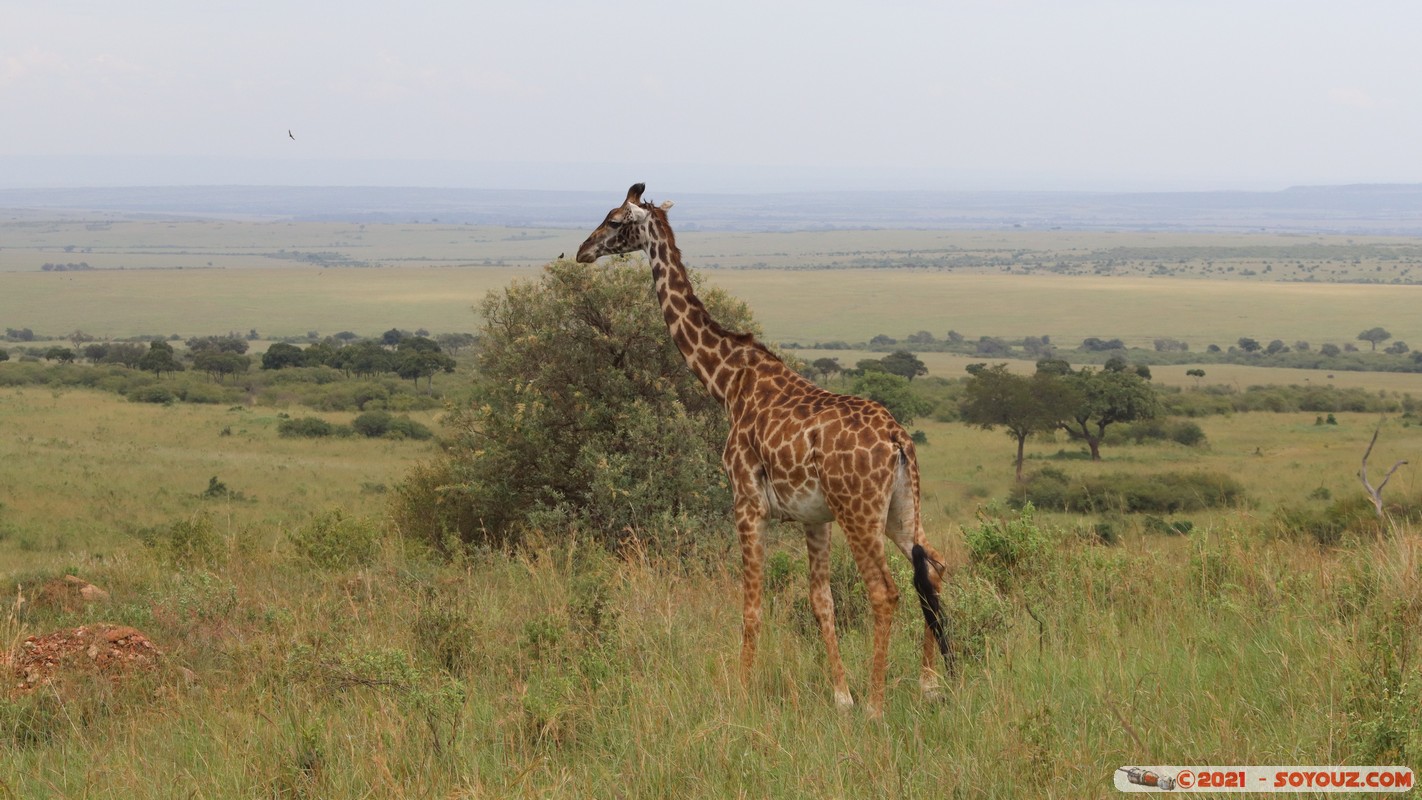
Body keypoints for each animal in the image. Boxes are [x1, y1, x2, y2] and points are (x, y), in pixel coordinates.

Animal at [577, 183, 952, 716]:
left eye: (612, 220)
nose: (582, 251)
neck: (727, 382)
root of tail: (898, 439)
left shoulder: (747, 503)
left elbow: (751, 606)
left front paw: (742, 693)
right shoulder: (815, 517)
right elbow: (821, 602)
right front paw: (841, 696)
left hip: (861, 513)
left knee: (886, 592)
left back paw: (879, 705)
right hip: (902, 509)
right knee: (933, 569)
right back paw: (927, 683)